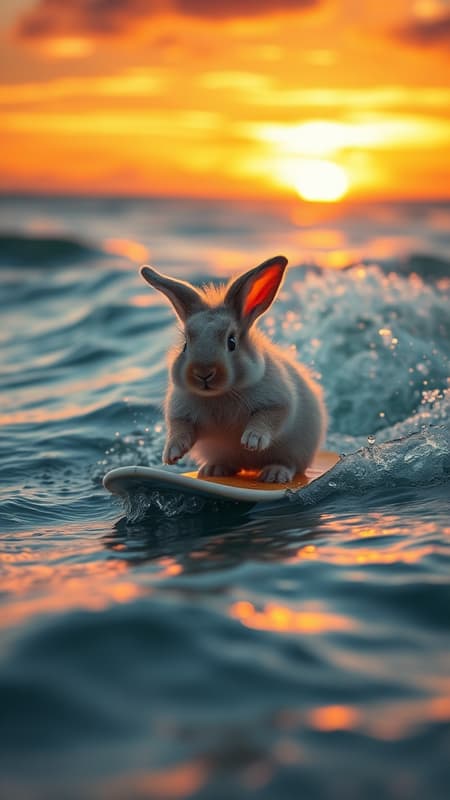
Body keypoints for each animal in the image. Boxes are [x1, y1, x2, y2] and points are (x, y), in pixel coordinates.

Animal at [140, 255, 327, 483]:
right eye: (185, 345)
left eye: (231, 342)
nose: (203, 373)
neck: (220, 395)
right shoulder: (181, 415)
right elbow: (180, 430)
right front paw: (172, 454)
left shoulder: (277, 403)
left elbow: (266, 419)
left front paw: (251, 441)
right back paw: (213, 470)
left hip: (296, 452)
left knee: (290, 465)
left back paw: (273, 475)